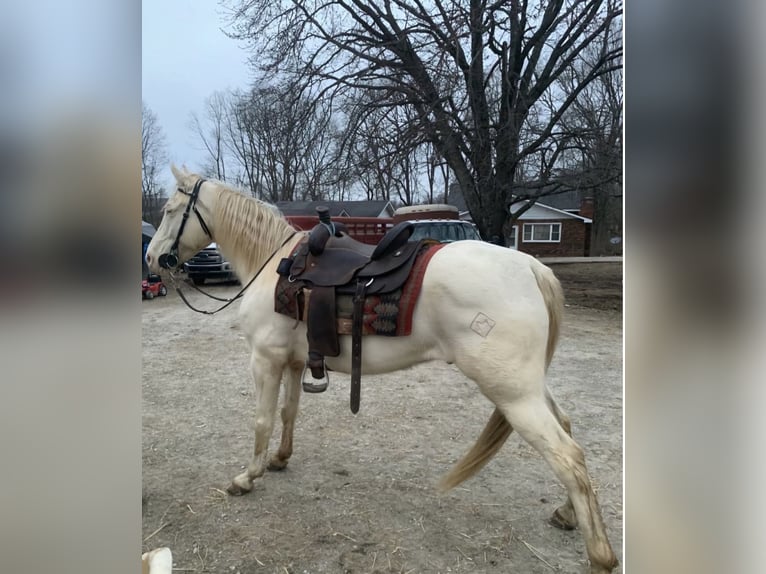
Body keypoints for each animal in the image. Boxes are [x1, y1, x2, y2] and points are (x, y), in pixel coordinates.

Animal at [145, 166, 618, 573]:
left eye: (168, 210)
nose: (152, 258)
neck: (275, 263)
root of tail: (531, 267)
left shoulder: (264, 360)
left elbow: (261, 420)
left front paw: (247, 477)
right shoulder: (293, 361)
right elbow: (288, 413)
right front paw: (280, 460)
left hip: (513, 394)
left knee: (567, 456)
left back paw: (601, 557)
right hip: (528, 386)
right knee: (569, 433)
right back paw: (566, 514)